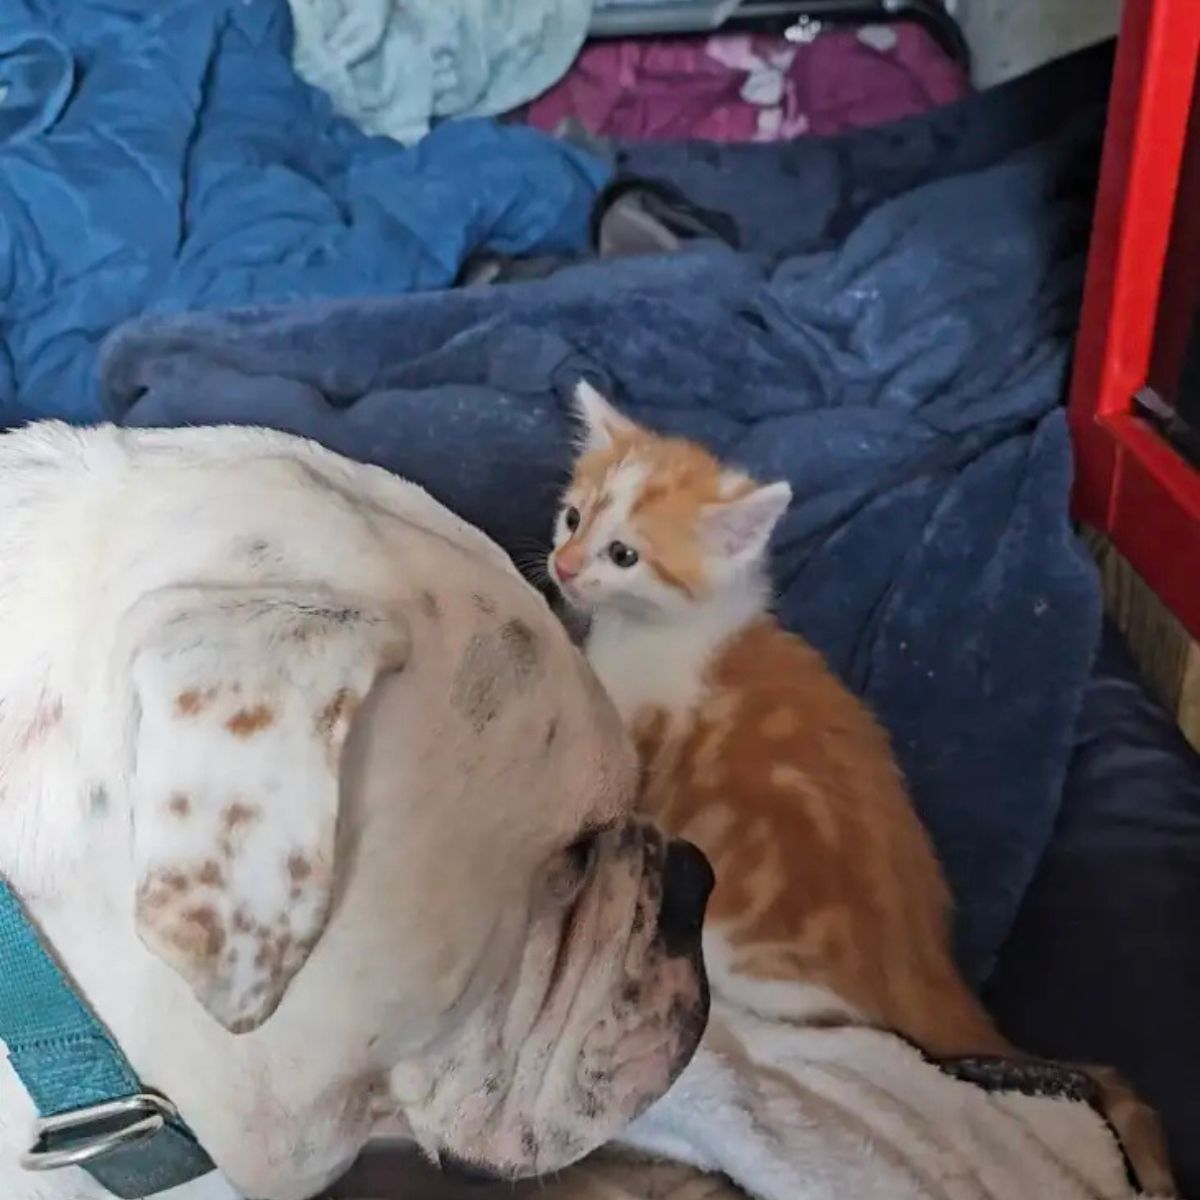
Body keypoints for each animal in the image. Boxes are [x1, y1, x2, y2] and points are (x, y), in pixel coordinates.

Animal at [549, 381, 1176, 1200]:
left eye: (623, 554)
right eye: (572, 517)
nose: (561, 566)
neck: (674, 631)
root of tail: (931, 970)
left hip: (748, 958)